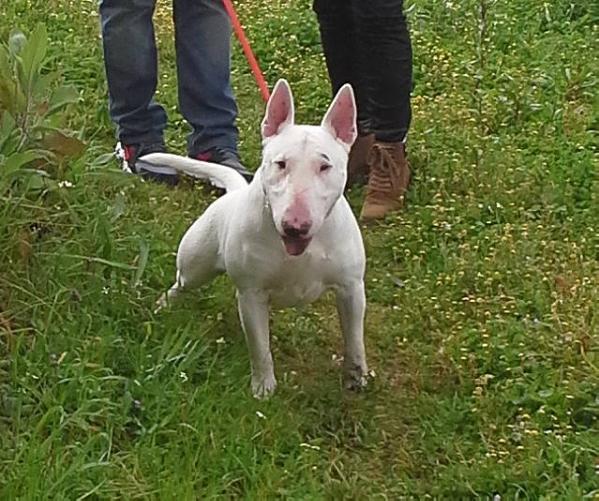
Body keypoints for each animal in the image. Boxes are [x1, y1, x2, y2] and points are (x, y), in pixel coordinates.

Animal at [148, 79, 368, 398]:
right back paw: (164, 304)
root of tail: (235, 190)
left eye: (325, 166)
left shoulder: (351, 288)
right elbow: (260, 348)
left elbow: (354, 338)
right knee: (181, 282)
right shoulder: (251, 294)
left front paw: (356, 377)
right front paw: (263, 388)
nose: (295, 226)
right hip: (195, 264)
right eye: (280, 164)